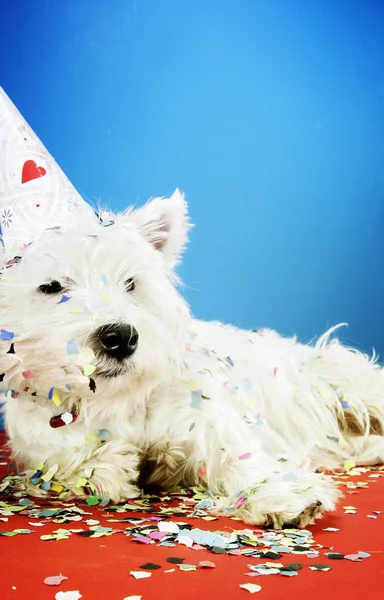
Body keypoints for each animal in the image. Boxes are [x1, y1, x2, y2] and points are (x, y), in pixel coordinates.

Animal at [0, 191, 384, 524]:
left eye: (131, 283)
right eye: (51, 286)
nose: (120, 338)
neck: (113, 400)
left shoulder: (204, 416)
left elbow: (237, 452)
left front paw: (281, 495)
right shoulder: (39, 436)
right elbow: (61, 458)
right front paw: (108, 467)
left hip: (344, 385)